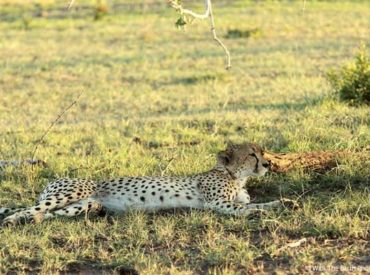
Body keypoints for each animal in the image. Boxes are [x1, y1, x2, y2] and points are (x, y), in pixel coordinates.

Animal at [0, 143, 282, 225]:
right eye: (252, 154)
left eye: (262, 151)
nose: (268, 164)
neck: (236, 176)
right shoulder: (216, 202)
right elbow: (244, 208)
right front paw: (267, 209)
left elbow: (253, 203)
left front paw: (278, 203)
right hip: (70, 193)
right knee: (26, 210)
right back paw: (12, 221)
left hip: (82, 205)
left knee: (47, 214)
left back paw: (34, 221)